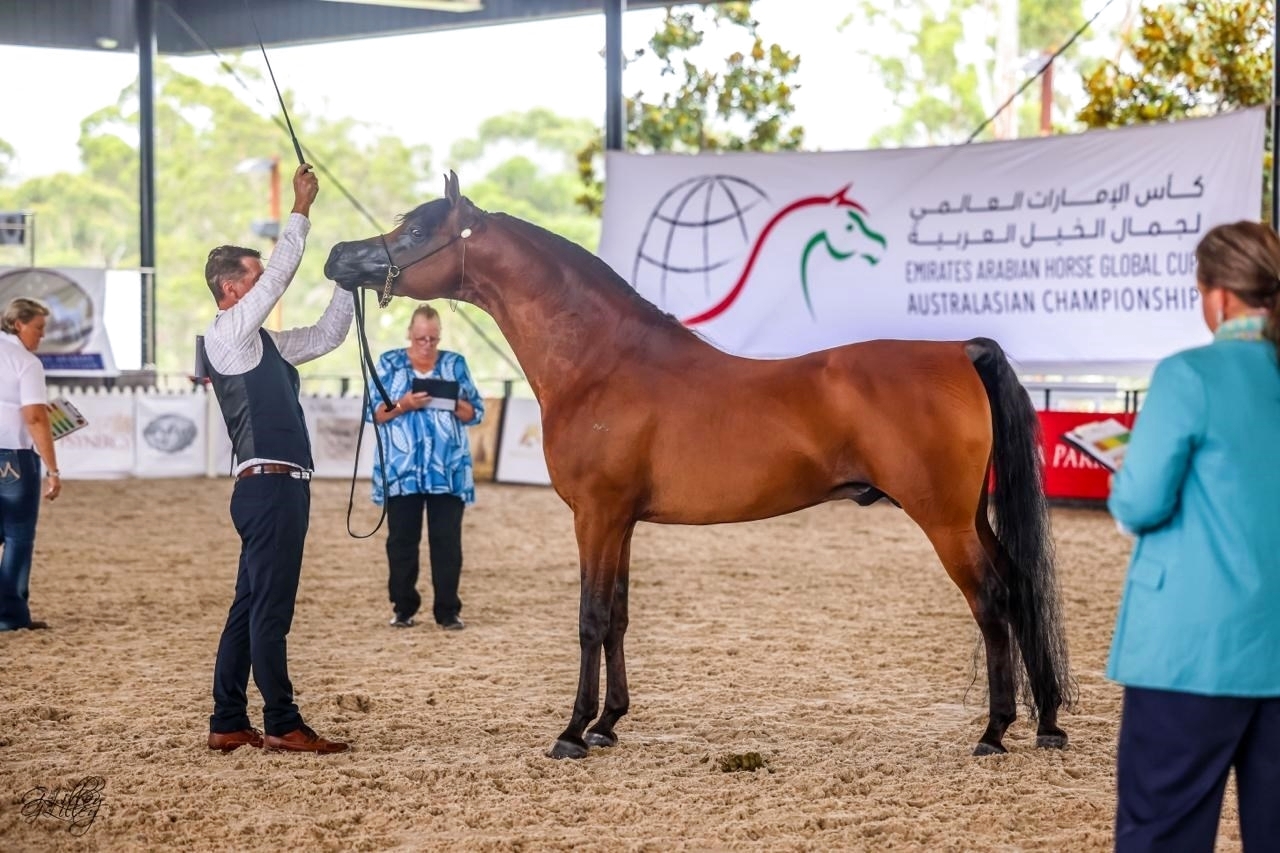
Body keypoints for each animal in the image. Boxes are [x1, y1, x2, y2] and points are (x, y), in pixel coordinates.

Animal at [324, 172, 1074, 760]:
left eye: (415, 227)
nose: (337, 256)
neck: (600, 361)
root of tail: (959, 349)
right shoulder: (621, 521)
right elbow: (619, 614)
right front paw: (608, 723)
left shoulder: (595, 515)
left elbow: (591, 617)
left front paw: (571, 731)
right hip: (972, 516)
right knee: (1021, 586)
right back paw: (1048, 724)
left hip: (944, 520)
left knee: (993, 599)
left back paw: (995, 730)